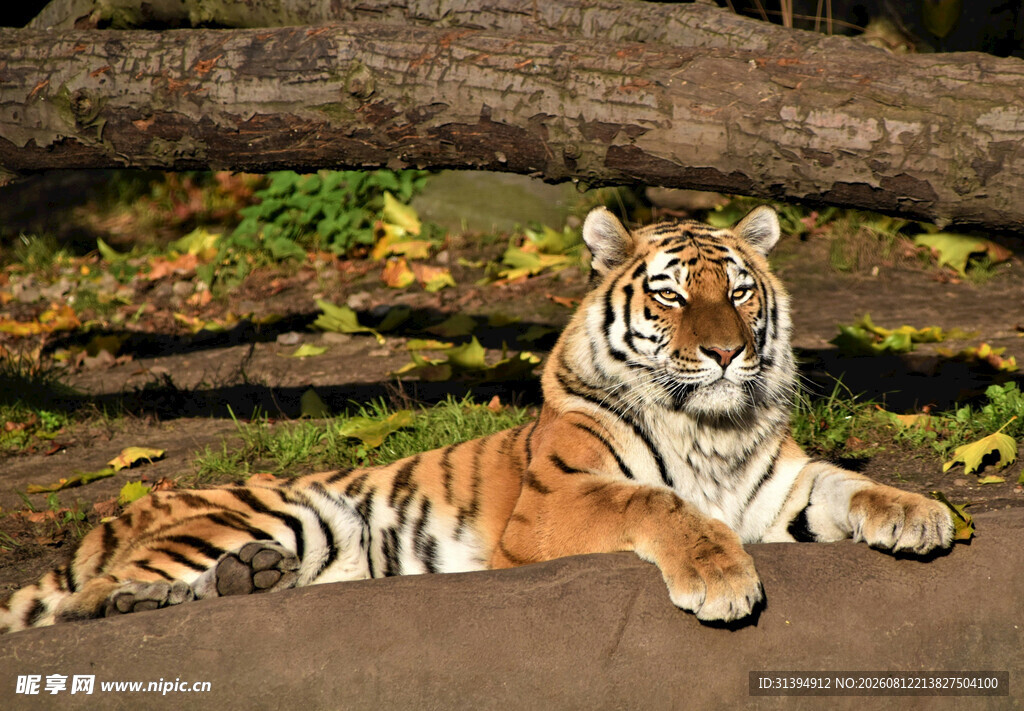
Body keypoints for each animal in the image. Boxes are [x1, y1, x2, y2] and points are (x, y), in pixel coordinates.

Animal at [0, 205, 954, 633]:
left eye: (741, 292)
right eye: (674, 296)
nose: (725, 353)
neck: (710, 427)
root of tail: (129, 504)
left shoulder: (780, 489)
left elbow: (853, 481)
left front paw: (922, 514)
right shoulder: (556, 500)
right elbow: (658, 501)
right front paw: (721, 577)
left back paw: (250, 581)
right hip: (280, 508)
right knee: (79, 601)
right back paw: (136, 601)